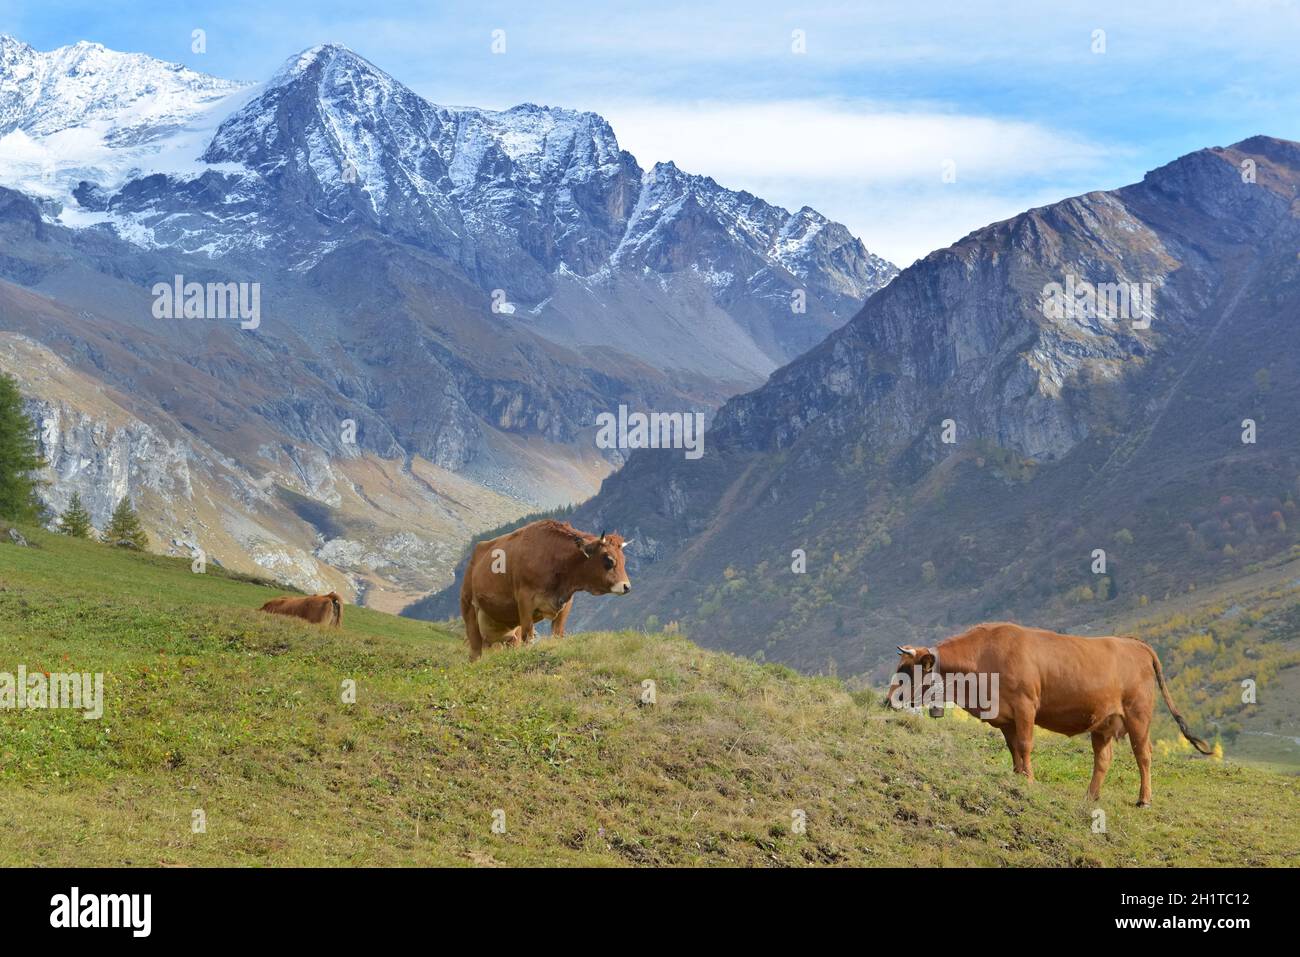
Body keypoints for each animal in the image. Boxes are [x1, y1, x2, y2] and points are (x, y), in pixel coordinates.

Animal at [462, 520, 634, 660]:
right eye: (609, 560)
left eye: (624, 560)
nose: (627, 586)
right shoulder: (525, 602)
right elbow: (528, 637)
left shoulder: (566, 603)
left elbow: (557, 635)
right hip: (469, 609)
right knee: (475, 651)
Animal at [889, 621, 1211, 806]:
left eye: (908, 670)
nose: (889, 698)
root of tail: (1134, 643)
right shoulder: (1006, 718)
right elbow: (1013, 749)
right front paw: (1018, 778)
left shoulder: (1025, 706)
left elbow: (1025, 745)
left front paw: (1029, 780)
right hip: (1104, 722)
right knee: (1103, 759)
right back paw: (1090, 797)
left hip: (1138, 715)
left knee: (1143, 755)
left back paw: (1144, 799)